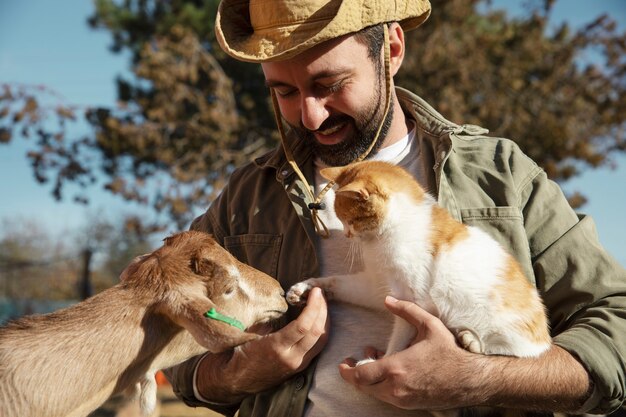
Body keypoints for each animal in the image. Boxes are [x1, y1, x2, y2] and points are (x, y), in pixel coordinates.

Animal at [286, 159, 548, 358]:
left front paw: (382, 363)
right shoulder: (376, 288)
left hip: (511, 332)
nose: (348, 234)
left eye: (352, 220)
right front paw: (307, 287)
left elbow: (398, 342)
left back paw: (473, 341)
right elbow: (338, 282)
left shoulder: (411, 301)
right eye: (342, 220)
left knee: (519, 350)